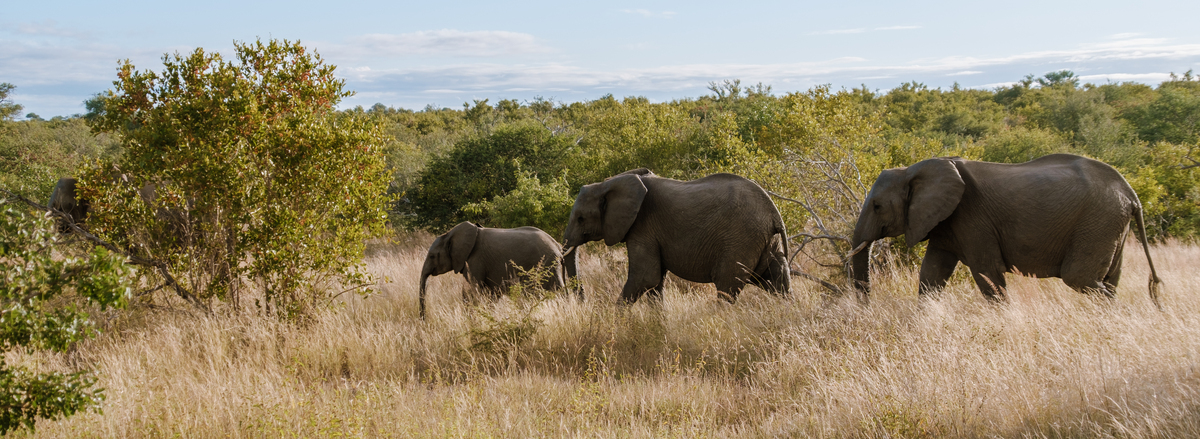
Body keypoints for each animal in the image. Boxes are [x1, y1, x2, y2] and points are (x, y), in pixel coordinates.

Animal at [418, 222, 571, 318]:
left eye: (432, 256)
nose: (424, 320)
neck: (450, 234)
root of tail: (558, 247)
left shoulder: (475, 260)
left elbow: (474, 290)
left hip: (547, 264)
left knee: (557, 291)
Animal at [562, 169, 790, 304]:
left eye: (581, 218)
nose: (583, 300)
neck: (608, 183)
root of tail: (774, 213)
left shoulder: (642, 227)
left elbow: (645, 277)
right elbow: (655, 283)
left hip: (741, 240)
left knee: (727, 287)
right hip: (766, 242)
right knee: (778, 281)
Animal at [848, 153, 1163, 308]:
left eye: (877, 206)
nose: (867, 308)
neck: (912, 169)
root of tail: (1132, 194)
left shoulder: (971, 217)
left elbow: (987, 273)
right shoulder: (945, 221)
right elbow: (932, 274)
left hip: (1098, 221)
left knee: (1080, 278)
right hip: (1111, 224)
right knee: (1109, 281)